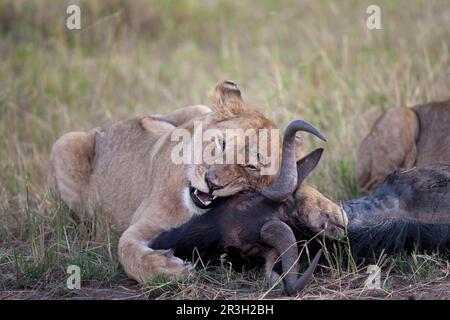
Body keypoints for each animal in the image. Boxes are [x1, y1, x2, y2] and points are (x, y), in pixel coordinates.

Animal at [48, 81, 344, 284]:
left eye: (251, 166)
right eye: (222, 144)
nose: (212, 183)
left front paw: (329, 214)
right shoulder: (140, 227)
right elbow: (126, 251)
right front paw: (172, 271)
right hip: (64, 143)